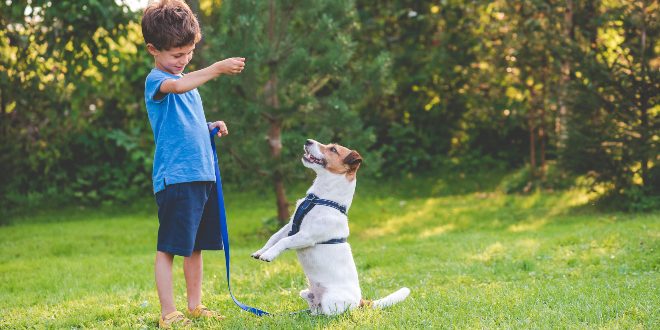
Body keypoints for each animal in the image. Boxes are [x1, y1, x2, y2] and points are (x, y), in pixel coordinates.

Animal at [250, 139, 410, 314]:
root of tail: (361, 301)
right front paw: (261, 251)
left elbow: (283, 242)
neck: (319, 198)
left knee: (330, 312)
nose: (308, 141)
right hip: (305, 292)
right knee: (314, 306)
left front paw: (268, 255)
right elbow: (274, 238)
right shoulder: (290, 226)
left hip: (330, 301)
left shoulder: (306, 236)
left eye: (333, 149)